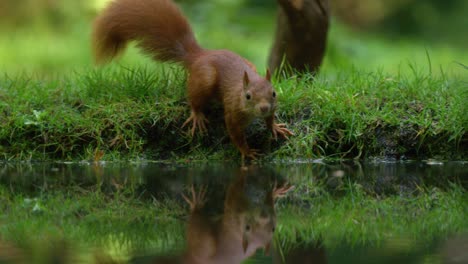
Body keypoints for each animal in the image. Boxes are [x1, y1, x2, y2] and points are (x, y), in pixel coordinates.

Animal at [91, 0, 292, 161]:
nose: (264, 107)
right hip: (205, 79)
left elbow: (270, 119)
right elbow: (235, 135)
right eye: (248, 96)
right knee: (194, 98)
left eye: (274, 93)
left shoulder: (271, 108)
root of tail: (199, 56)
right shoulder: (232, 114)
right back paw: (197, 116)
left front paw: (275, 127)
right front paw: (246, 151)